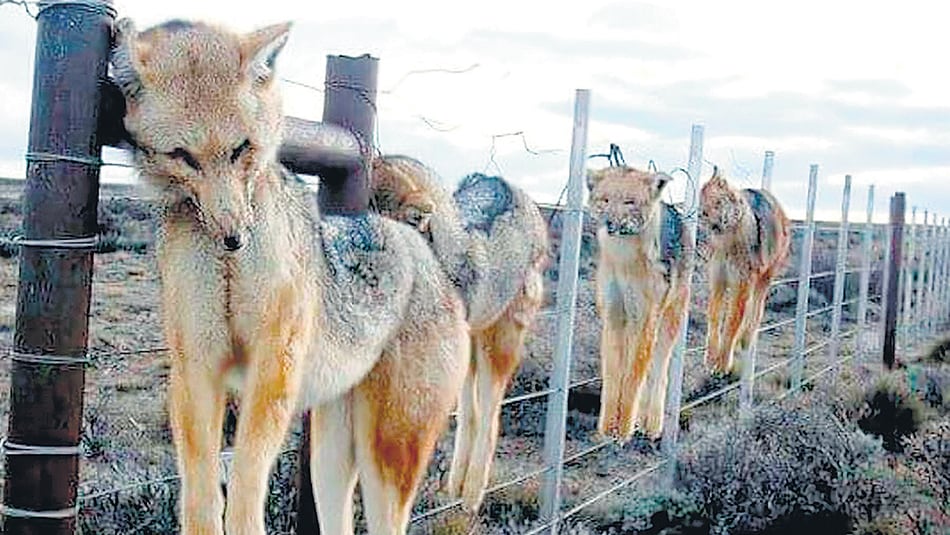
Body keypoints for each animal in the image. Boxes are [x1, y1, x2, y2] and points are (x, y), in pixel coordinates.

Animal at [111, 18, 470, 535]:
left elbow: (246, 481)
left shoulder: (273, 365)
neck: (228, 266)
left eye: (241, 148)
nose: (234, 235)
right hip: (329, 462)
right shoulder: (197, 365)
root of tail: (417, 245)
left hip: (385, 465)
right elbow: (200, 492)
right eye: (183, 156)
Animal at [370, 155, 548, 512]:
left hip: (497, 349)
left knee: (491, 420)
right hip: (471, 356)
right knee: (471, 416)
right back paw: (456, 483)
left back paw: (472, 493)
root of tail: (507, 184)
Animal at [587, 165, 692, 443]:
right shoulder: (613, 316)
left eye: (629, 202)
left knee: (657, 374)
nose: (610, 223)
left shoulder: (645, 318)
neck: (624, 260)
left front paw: (623, 432)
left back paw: (652, 425)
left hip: (666, 324)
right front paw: (606, 429)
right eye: (605, 200)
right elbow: (614, 377)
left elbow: (633, 379)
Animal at [698, 166, 791, 374]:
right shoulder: (718, 280)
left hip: (763, 281)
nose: (703, 215)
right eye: (702, 202)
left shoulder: (741, 284)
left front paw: (723, 363)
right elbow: (714, 319)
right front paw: (710, 358)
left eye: (717, 202)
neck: (728, 241)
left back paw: (745, 337)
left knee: (755, 313)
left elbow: (731, 322)